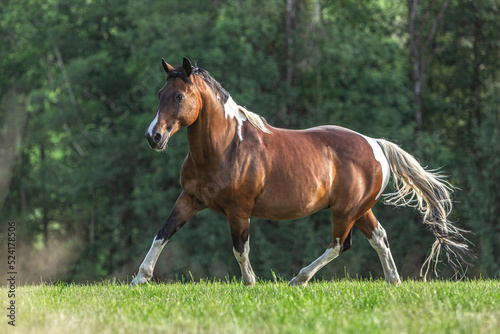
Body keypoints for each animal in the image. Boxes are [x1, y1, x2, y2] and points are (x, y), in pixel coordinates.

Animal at [131, 58, 470, 288]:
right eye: (160, 93)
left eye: (178, 96)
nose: (153, 137)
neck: (225, 148)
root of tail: (375, 144)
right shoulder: (190, 199)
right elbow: (163, 233)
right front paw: (140, 278)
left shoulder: (239, 209)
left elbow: (240, 248)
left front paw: (250, 283)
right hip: (360, 210)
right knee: (380, 238)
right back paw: (393, 281)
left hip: (345, 211)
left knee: (339, 245)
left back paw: (299, 279)